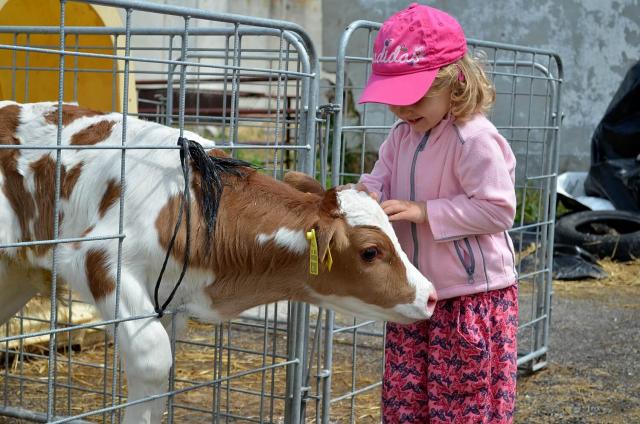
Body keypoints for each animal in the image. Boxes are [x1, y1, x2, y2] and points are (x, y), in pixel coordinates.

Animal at [0, 101, 438, 422]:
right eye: (371, 251)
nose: (431, 296)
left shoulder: (166, 302)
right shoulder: (100, 257)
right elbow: (154, 361)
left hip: (14, 274)